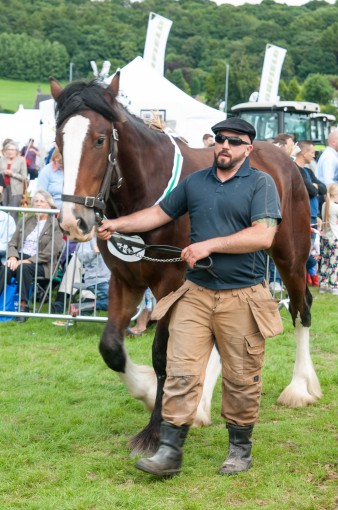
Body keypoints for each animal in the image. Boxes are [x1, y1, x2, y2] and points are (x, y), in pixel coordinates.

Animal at [50, 73, 322, 452]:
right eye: (59, 139)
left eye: (100, 140)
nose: (73, 221)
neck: (146, 189)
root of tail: (287, 161)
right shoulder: (126, 279)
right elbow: (111, 348)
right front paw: (148, 391)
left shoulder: (171, 282)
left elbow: (163, 354)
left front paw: (154, 428)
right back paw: (202, 405)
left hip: (291, 257)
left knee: (301, 309)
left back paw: (300, 387)